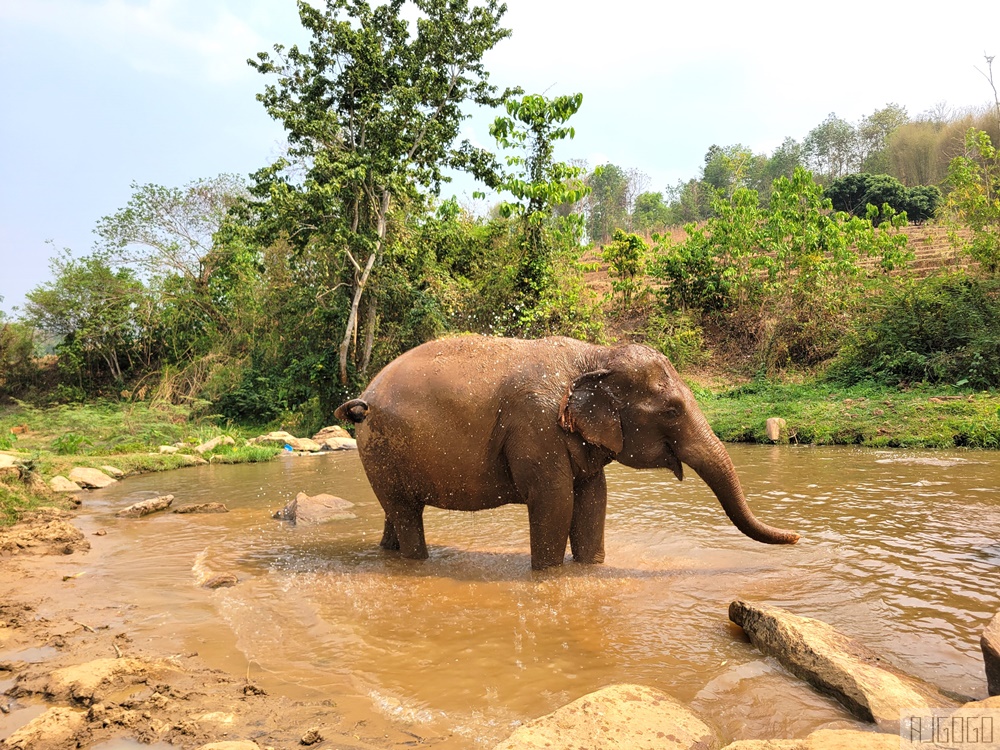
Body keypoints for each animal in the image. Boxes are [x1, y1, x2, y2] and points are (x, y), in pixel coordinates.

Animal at [335, 335, 799, 570]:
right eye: (671, 410)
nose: (798, 537)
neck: (594, 355)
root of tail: (363, 397)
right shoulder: (536, 428)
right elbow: (555, 502)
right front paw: (550, 576)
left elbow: (594, 499)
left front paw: (591, 570)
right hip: (380, 449)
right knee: (405, 514)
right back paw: (418, 563)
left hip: (384, 453)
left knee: (396, 512)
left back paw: (387, 555)